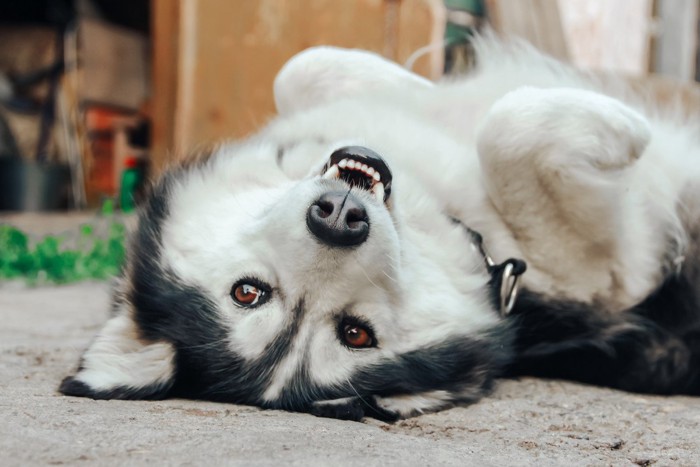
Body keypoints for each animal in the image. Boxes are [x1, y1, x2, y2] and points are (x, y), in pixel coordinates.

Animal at [60, 38, 700, 422]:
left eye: (247, 292)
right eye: (356, 334)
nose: (340, 220)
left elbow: (304, 67)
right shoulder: (607, 269)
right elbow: (508, 128)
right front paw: (631, 130)